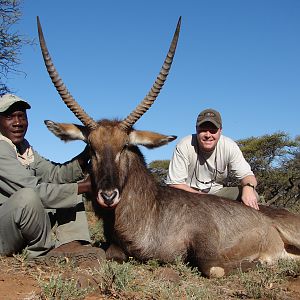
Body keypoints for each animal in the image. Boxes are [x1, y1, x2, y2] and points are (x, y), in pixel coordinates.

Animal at [37, 17, 300, 278]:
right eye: (90, 148)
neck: (153, 210)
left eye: (124, 146)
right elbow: (110, 254)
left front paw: (258, 262)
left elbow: (214, 269)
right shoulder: (118, 249)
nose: (108, 196)